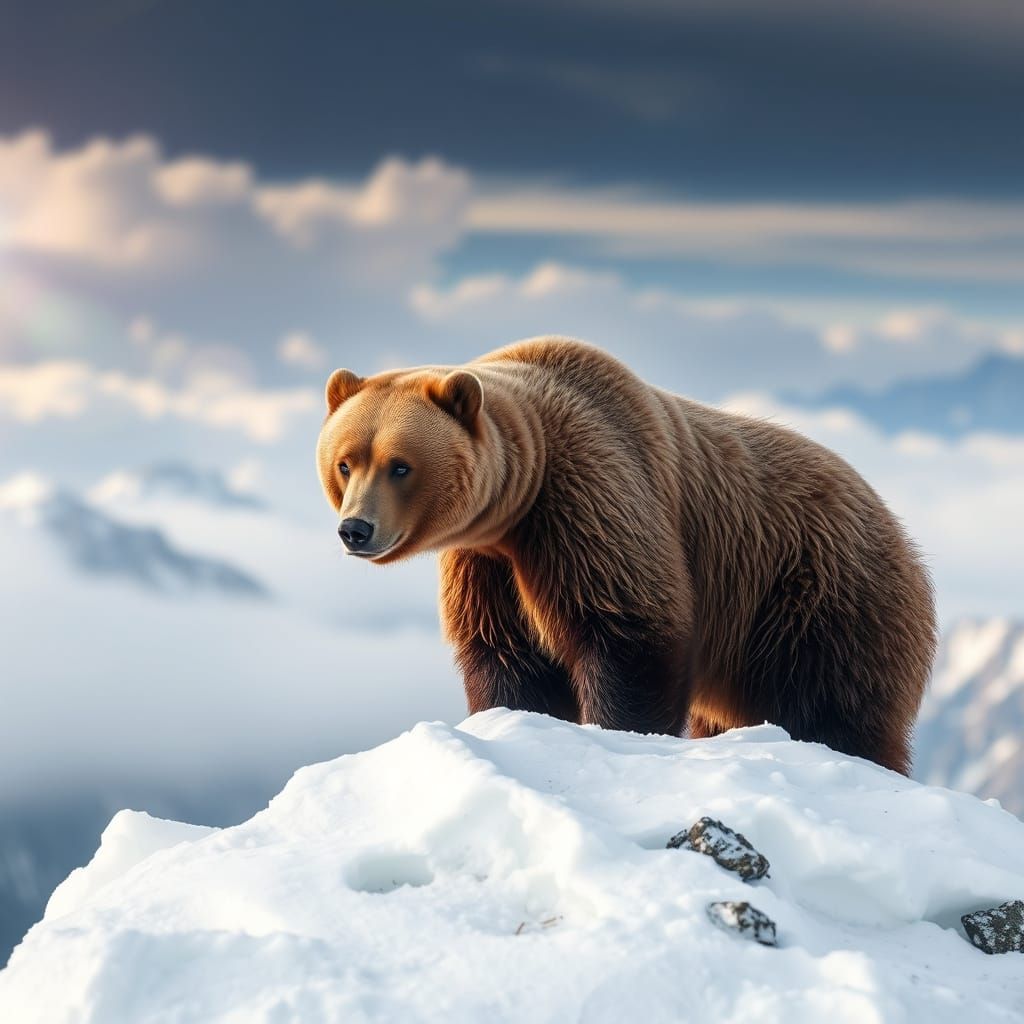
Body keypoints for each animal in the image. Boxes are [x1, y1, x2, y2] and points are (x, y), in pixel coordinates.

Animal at [317, 337, 936, 775]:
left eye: (400, 465)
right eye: (345, 461)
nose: (356, 529)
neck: (518, 506)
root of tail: (899, 529)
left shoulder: (592, 504)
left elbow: (631, 634)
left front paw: (619, 730)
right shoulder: (488, 567)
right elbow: (507, 656)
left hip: (817, 599)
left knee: (836, 709)